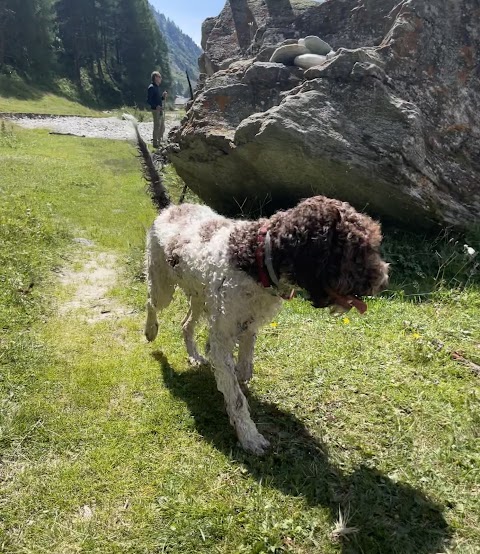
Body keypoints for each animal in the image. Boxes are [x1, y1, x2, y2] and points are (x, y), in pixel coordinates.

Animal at [132, 121, 390, 452]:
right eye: (356, 249)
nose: (383, 280)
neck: (255, 259)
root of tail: (168, 209)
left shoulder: (247, 325)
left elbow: (244, 365)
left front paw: (240, 378)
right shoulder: (222, 336)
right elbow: (236, 396)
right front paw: (249, 436)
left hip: (200, 297)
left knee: (186, 324)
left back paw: (194, 356)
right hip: (162, 283)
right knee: (152, 303)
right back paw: (150, 331)